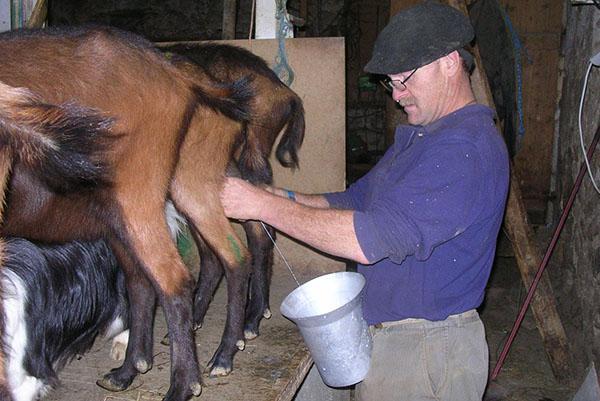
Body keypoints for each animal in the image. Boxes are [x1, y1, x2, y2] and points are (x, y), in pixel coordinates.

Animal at [0, 25, 252, 400]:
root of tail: (176, 74)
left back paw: (189, 379)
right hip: (171, 190)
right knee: (168, 272)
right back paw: (134, 368)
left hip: (140, 194)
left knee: (180, 276)